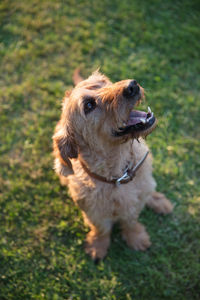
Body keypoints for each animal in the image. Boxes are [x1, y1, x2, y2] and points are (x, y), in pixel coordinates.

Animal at [52, 69, 173, 262]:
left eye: (104, 82)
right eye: (89, 105)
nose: (132, 85)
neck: (118, 173)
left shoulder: (133, 204)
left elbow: (131, 221)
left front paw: (136, 237)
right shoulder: (93, 212)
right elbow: (101, 229)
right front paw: (98, 246)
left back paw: (159, 201)